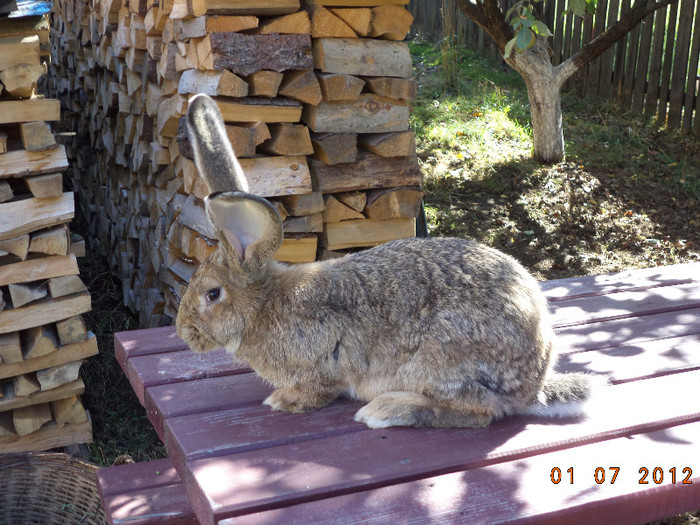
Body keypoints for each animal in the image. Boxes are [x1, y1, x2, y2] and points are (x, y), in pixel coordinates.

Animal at [174, 94, 592, 428]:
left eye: (212, 295)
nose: (183, 332)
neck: (262, 307)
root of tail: (534, 383)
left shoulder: (322, 364)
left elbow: (317, 390)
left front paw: (284, 401)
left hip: (443, 359)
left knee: (479, 412)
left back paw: (388, 410)